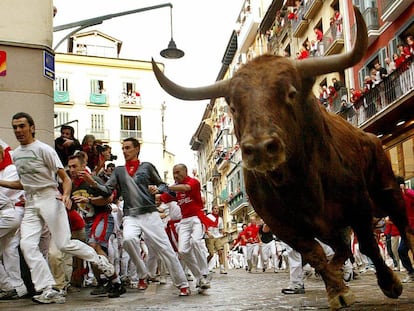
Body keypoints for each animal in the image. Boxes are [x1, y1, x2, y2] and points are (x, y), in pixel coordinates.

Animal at [151, 6, 414, 310]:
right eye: (233, 105)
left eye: (291, 92)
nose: (260, 148)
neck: (299, 181)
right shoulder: (283, 225)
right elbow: (314, 254)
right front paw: (337, 290)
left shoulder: (357, 204)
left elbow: (369, 244)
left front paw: (390, 283)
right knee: (339, 249)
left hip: (386, 189)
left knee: (399, 224)